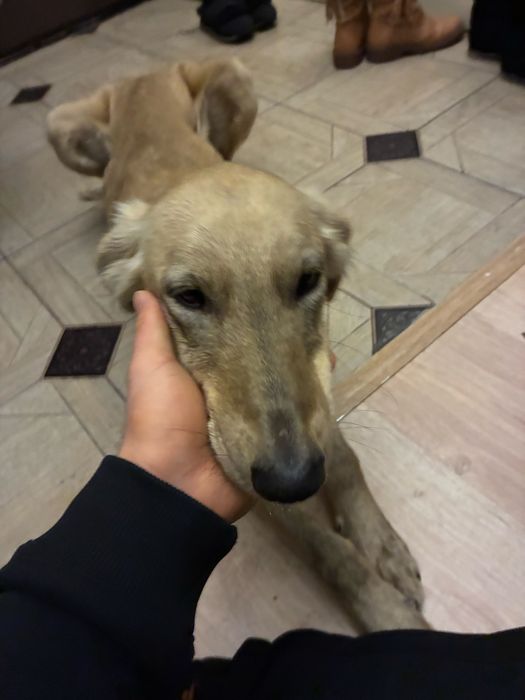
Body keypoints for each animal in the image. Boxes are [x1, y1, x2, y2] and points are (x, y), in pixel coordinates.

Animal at [47, 58, 428, 632]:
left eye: (307, 280)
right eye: (188, 296)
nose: (294, 479)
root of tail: (142, 73)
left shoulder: (313, 391)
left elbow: (343, 457)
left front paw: (382, 544)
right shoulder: (243, 465)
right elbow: (327, 548)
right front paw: (385, 611)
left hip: (236, 81)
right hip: (58, 123)